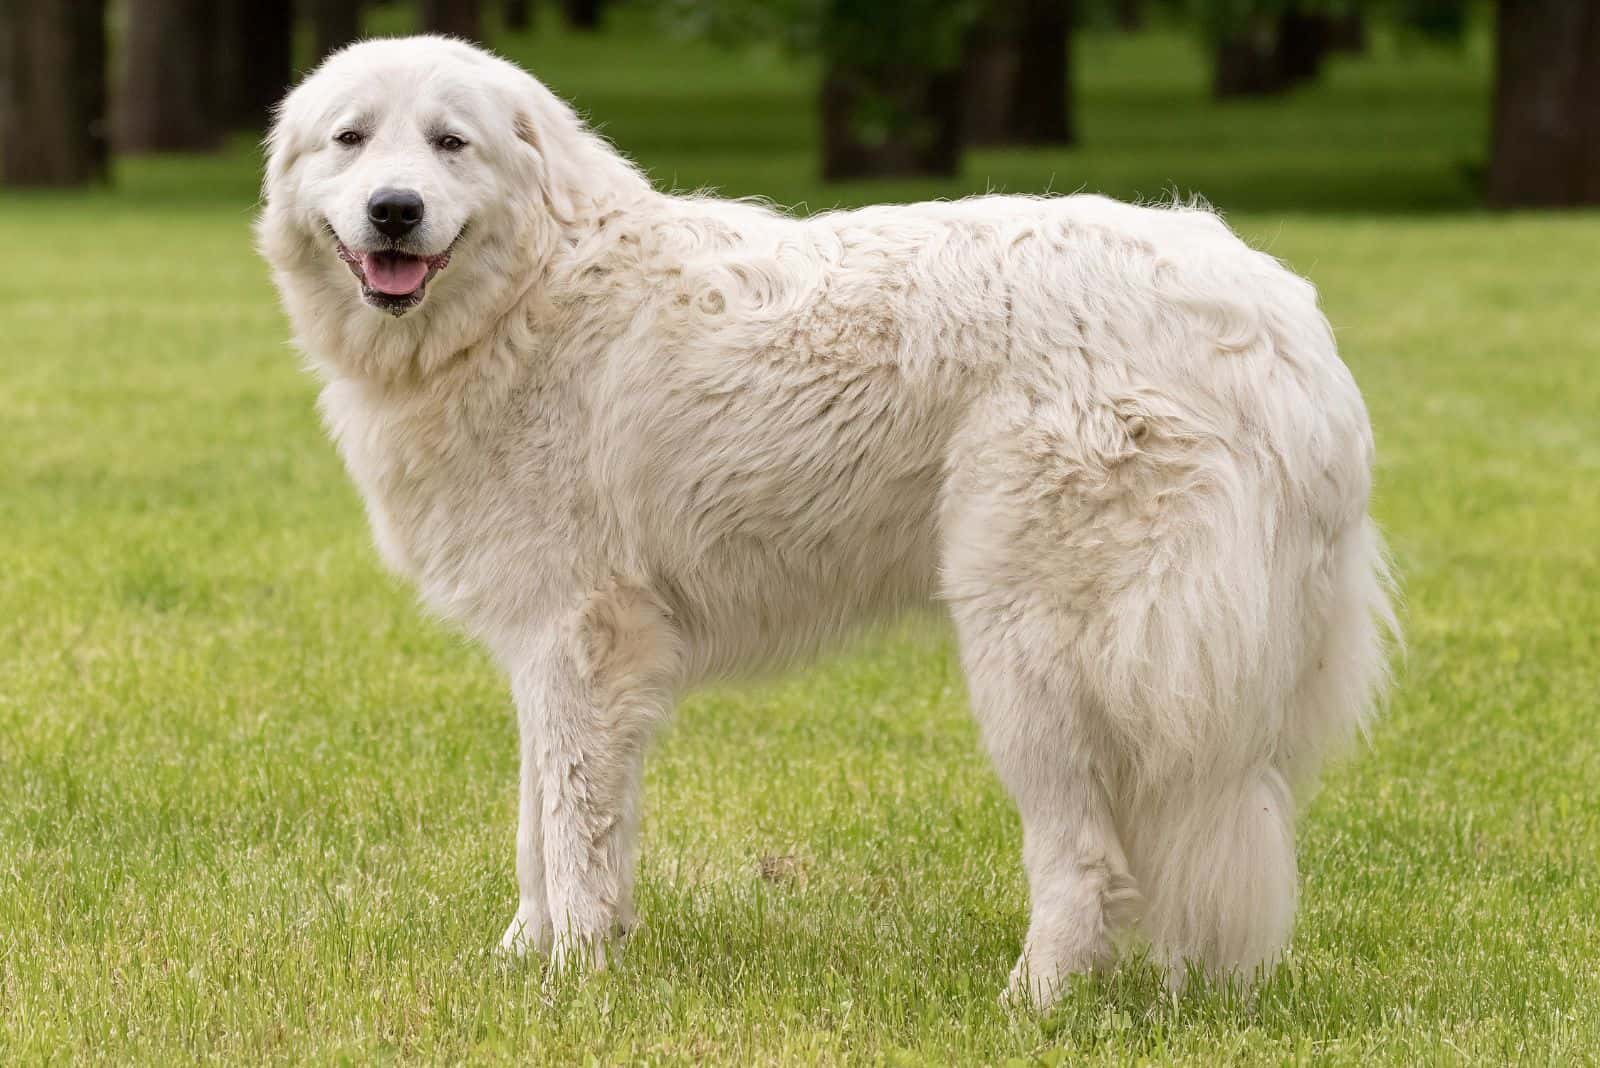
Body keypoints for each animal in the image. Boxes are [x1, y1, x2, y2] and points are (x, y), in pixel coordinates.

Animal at [256, 33, 1395, 1004]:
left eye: (451, 143)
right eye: (351, 140)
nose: (394, 210)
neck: (521, 297)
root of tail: (1283, 324)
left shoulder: (577, 640)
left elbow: (571, 828)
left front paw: (572, 980)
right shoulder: (546, 646)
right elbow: (542, 824)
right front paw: (526, 957)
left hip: (1034, 656)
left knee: (1084, 860)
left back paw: (1029, 1003)